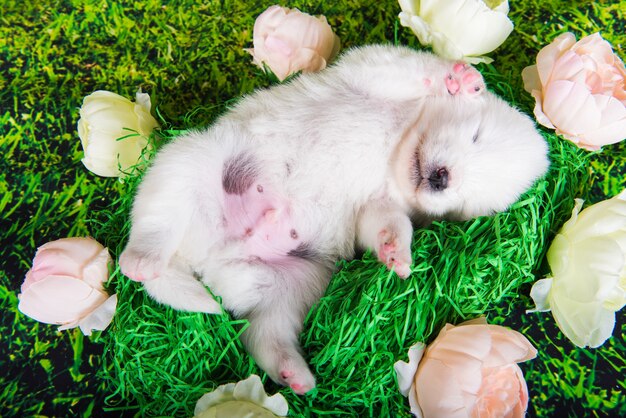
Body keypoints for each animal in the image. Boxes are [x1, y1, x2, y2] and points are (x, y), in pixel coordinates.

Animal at [117, 45, 544, 396]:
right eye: (476, 136)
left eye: (471, 194)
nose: (442, 178)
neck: (397, 146)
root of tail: (201, 260)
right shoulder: (371, 67)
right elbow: (410, 69)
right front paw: (461, 80)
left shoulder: (377, 206)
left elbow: (389, 224)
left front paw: (397, 253)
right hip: (189, 163)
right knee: (154, 225)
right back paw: (143, 260)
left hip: (293, 282)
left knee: (264, 332)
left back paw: (294, 374)